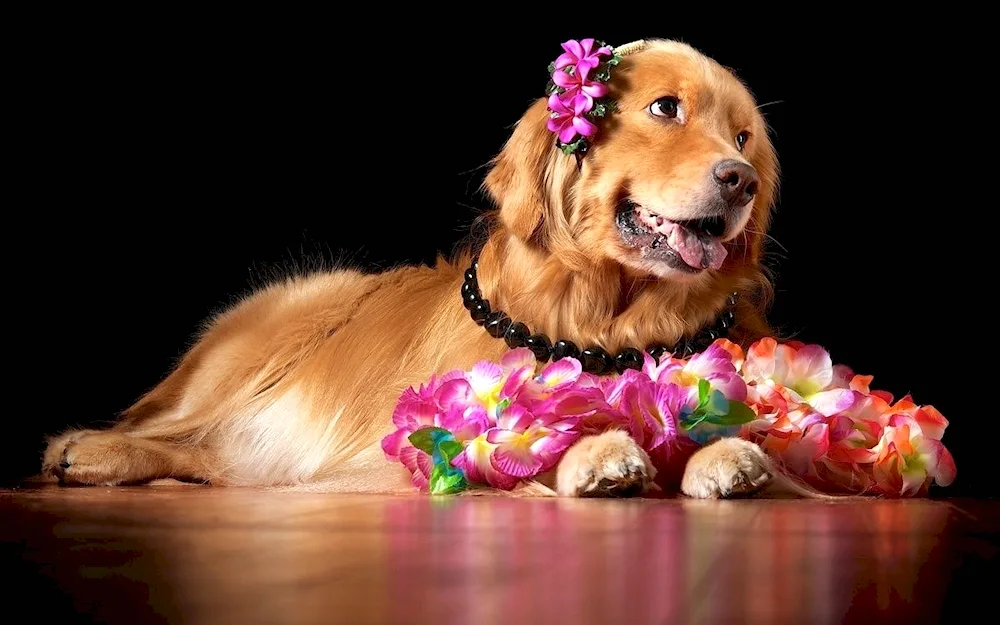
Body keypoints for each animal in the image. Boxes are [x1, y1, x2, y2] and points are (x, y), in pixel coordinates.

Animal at [41, 37, 780, 498]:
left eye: (743, 138)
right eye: (665, 108)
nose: (740, 179)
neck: (610, 320)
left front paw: (726, 454)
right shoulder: (413, 444)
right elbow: (509, 453)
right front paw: (596, 451)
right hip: (288, 324)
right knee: (167, 427)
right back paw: (85, 449)